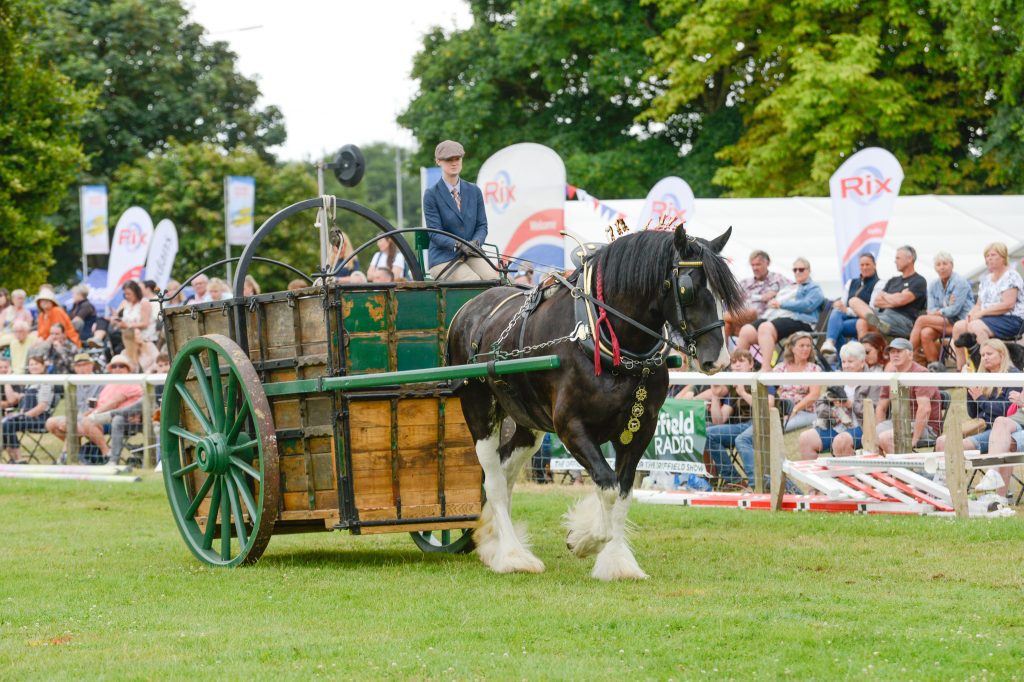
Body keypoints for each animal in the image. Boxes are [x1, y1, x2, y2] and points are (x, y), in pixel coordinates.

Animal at [448, 225, 745, 577]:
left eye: (723, 292)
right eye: (686, 289)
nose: (719, 359)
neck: (602, 338)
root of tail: (470, 307)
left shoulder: (640, 428)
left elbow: (624, 491)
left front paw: (616, 560)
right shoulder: (571, 427)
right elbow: (607, 485)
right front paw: (584, 539)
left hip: (527, 421)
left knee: (507, 469)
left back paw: (495, 542)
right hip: (478, 407)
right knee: (493, 478)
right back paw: (512, 555)